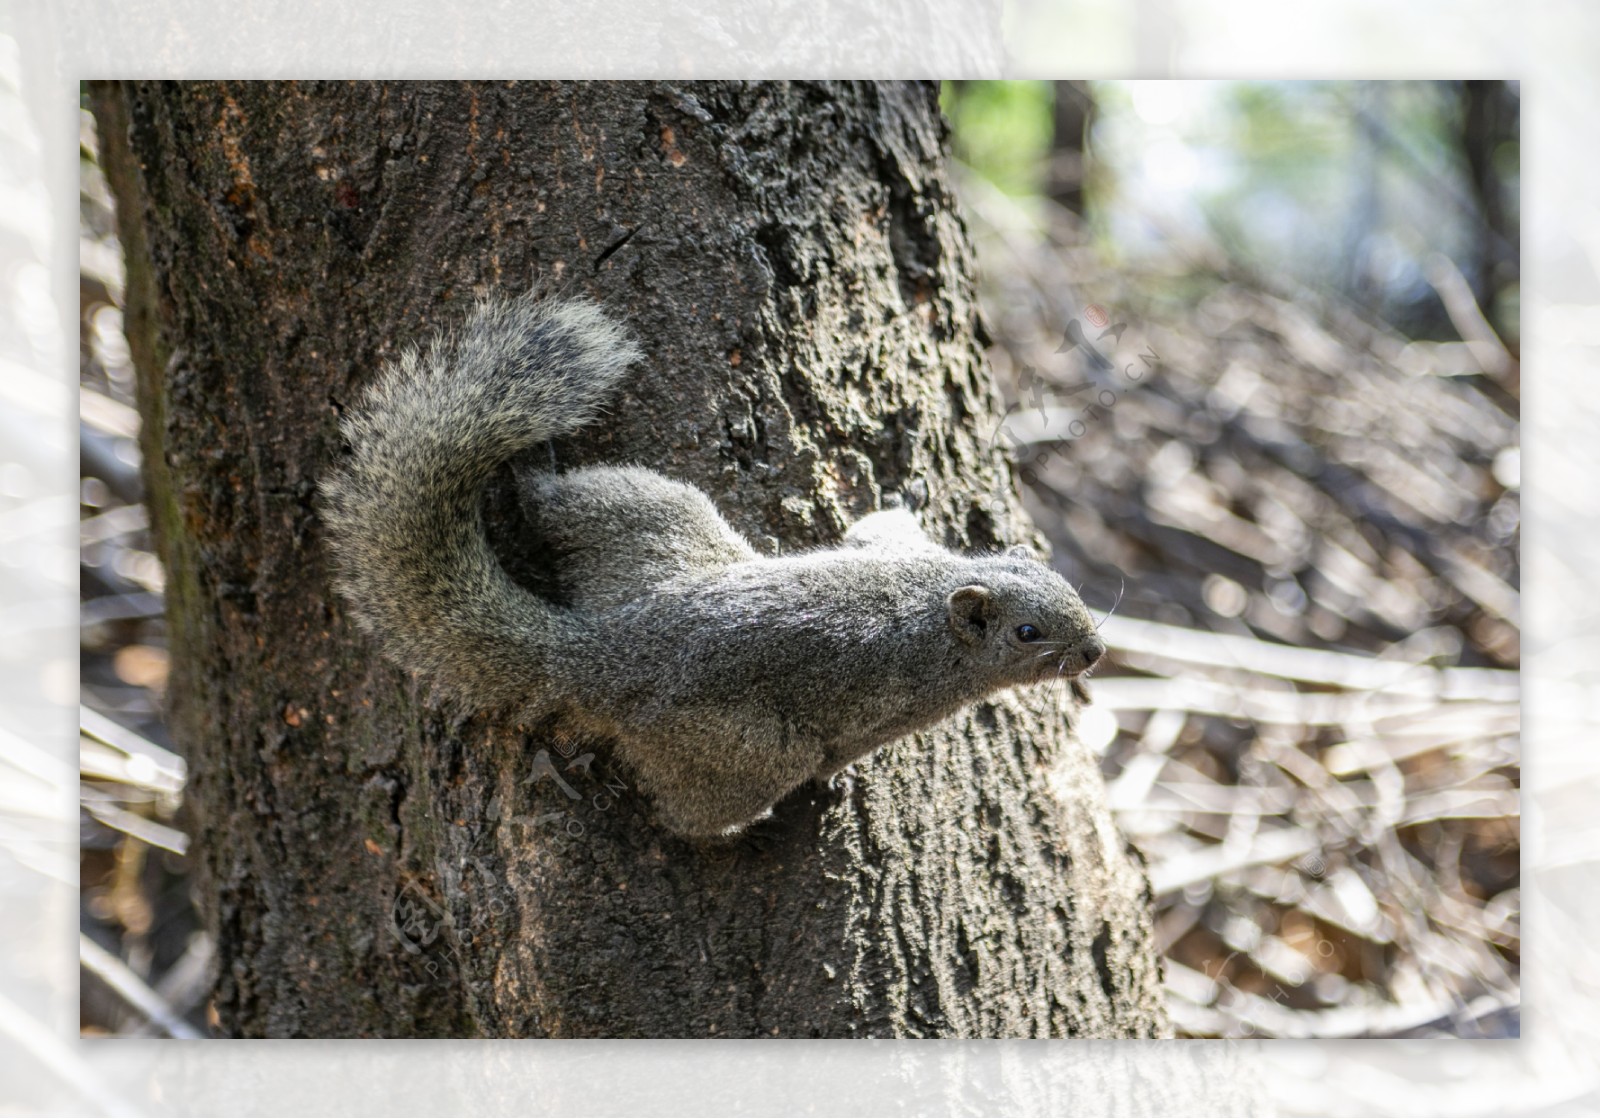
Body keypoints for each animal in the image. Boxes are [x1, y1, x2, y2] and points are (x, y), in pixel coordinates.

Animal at [318, 292, 1107, 838]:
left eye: (1063, 580)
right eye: (1028, 634)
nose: (1096, 651)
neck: (937, 596)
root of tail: (598, 655)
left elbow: (873, 528)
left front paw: (905, 492)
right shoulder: (901, 704)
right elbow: (848, 748)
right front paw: (839, 781)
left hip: (649, 517)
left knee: (551, 502)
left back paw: (535, 468)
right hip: (743, 747)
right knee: (687, 816)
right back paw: (739, 830)